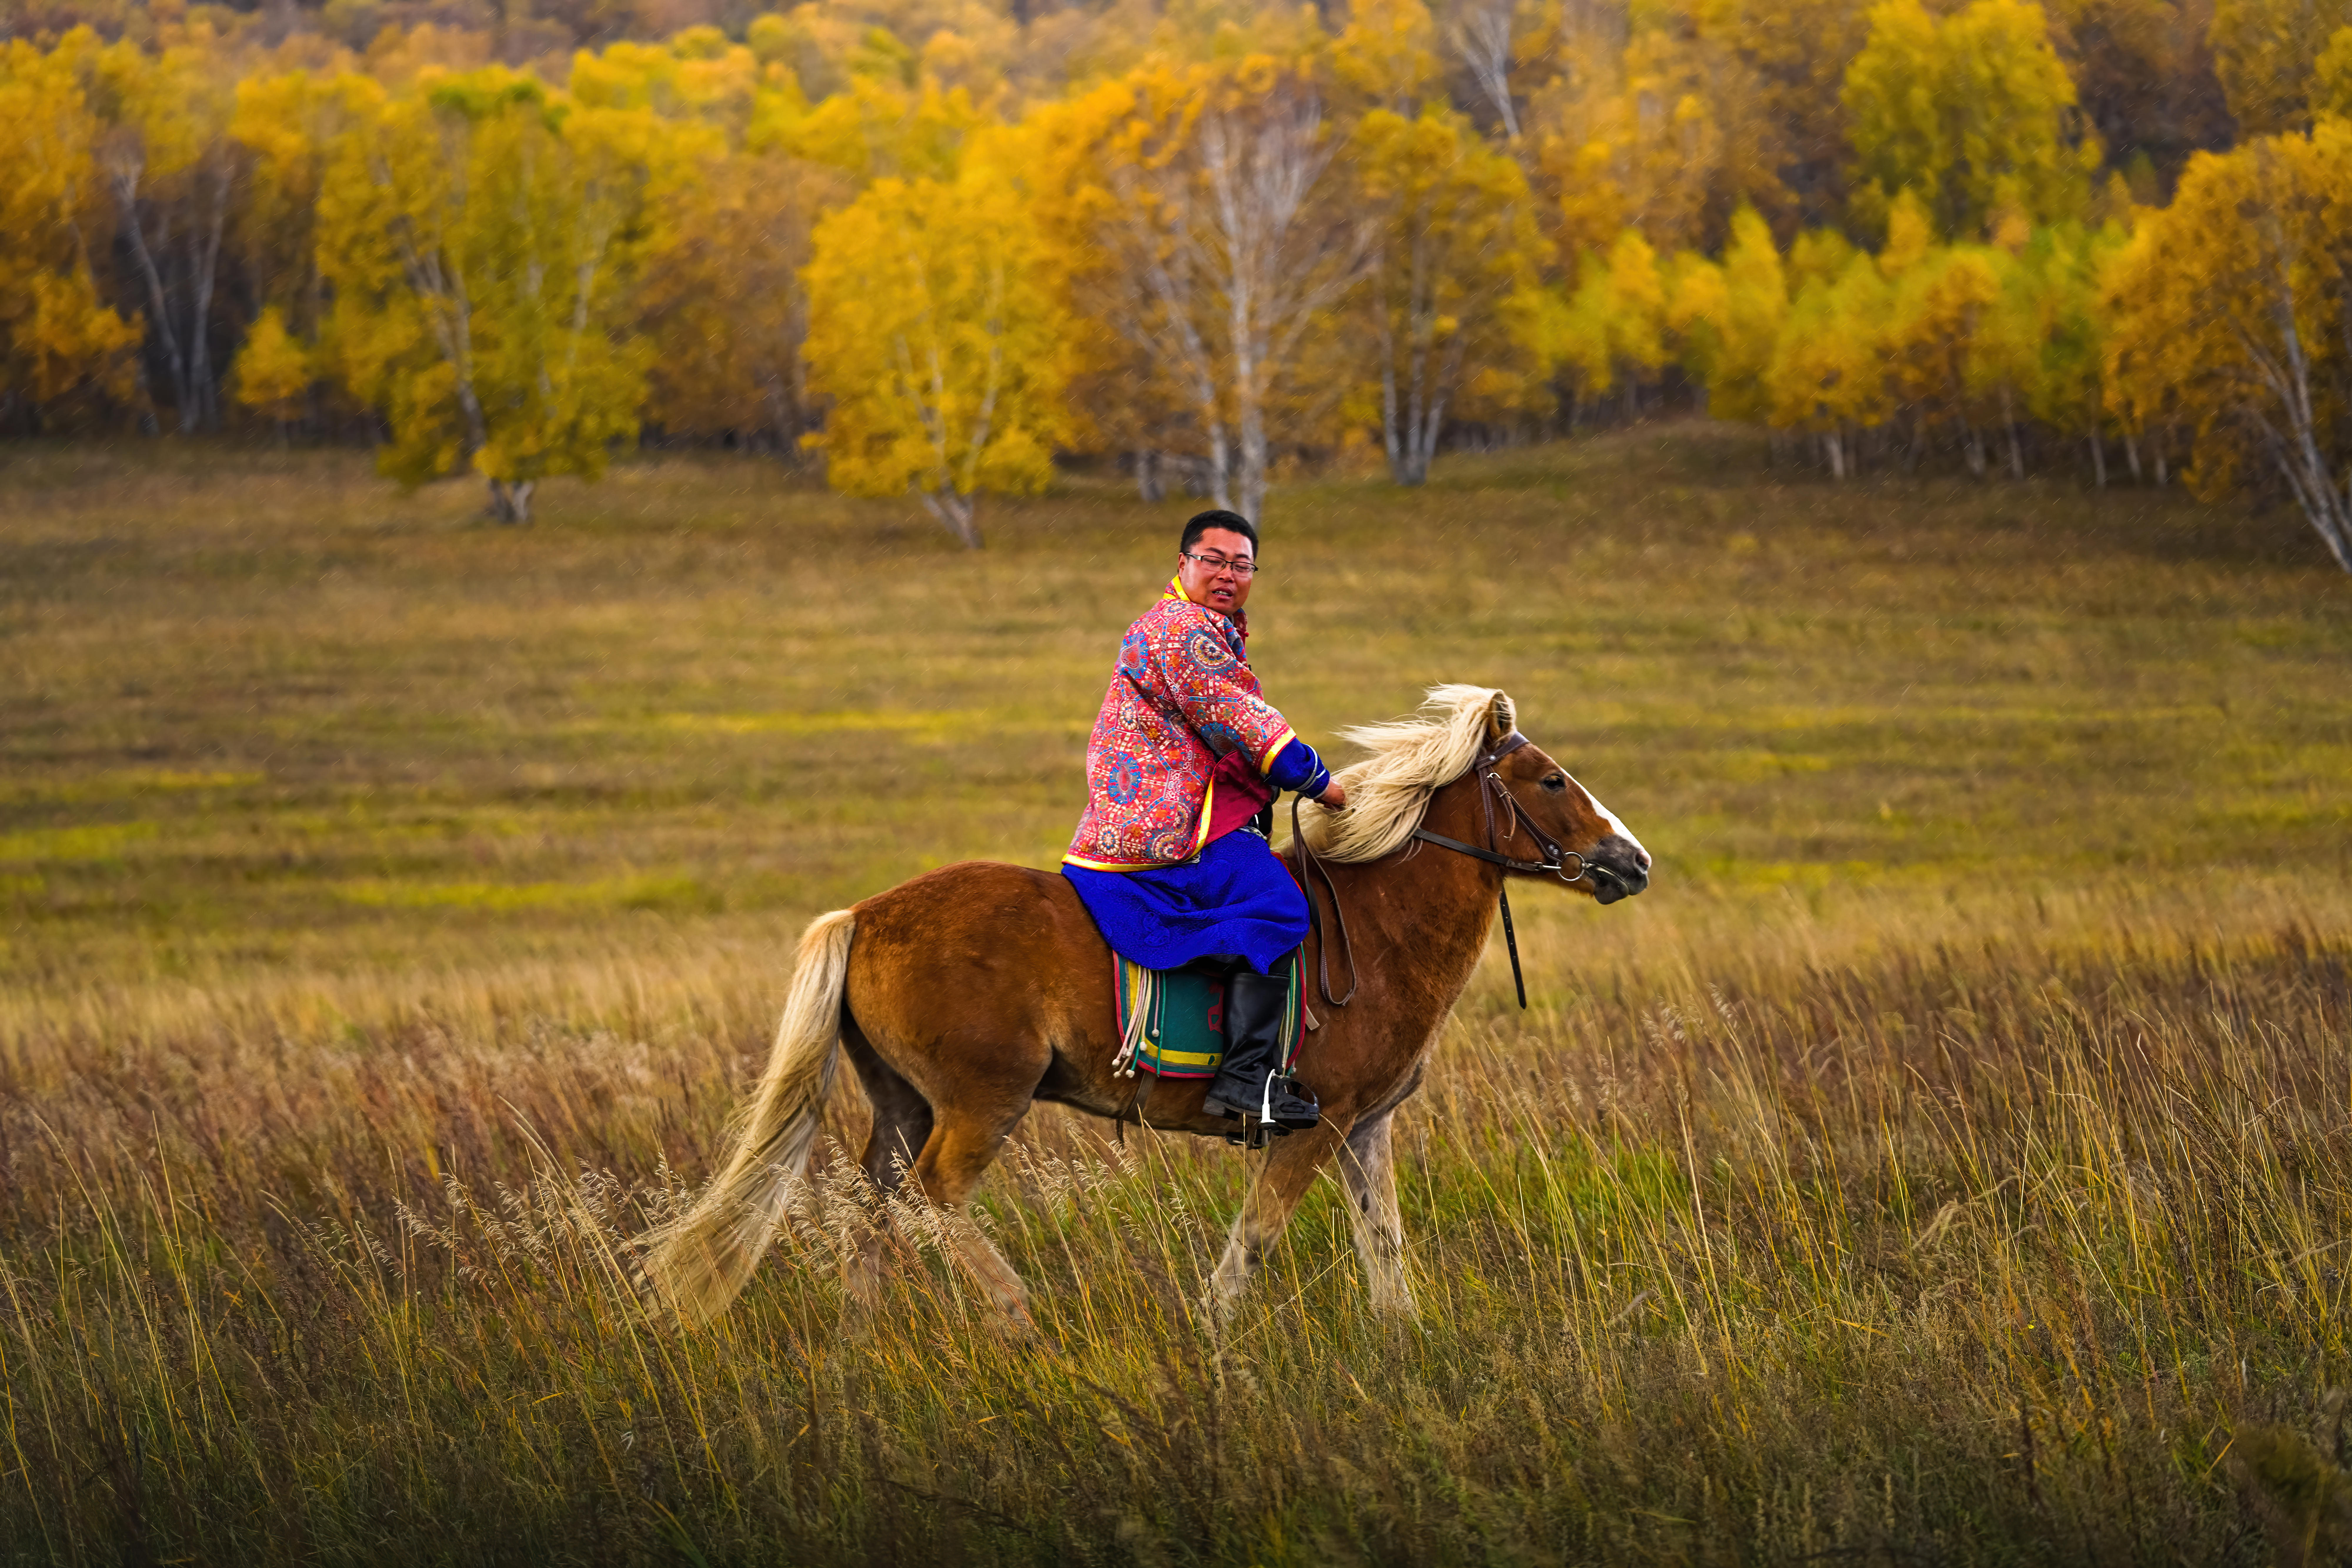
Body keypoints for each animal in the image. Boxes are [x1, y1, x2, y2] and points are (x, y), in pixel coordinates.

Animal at [636, 685, 1652, 1328]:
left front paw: (1404, 1349)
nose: (1632, 860)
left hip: (903, 1104)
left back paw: (858, 1344)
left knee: (872, 1211)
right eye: (1552, 780)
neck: (1373, 924)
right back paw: (1016, 1315)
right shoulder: (1311, 1129)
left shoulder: (1365, 1129)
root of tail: (866, 912)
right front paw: (1215, 1340)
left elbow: (1387, 1259)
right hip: (981, 1101)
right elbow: (1250, 1250)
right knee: (936, 1196)